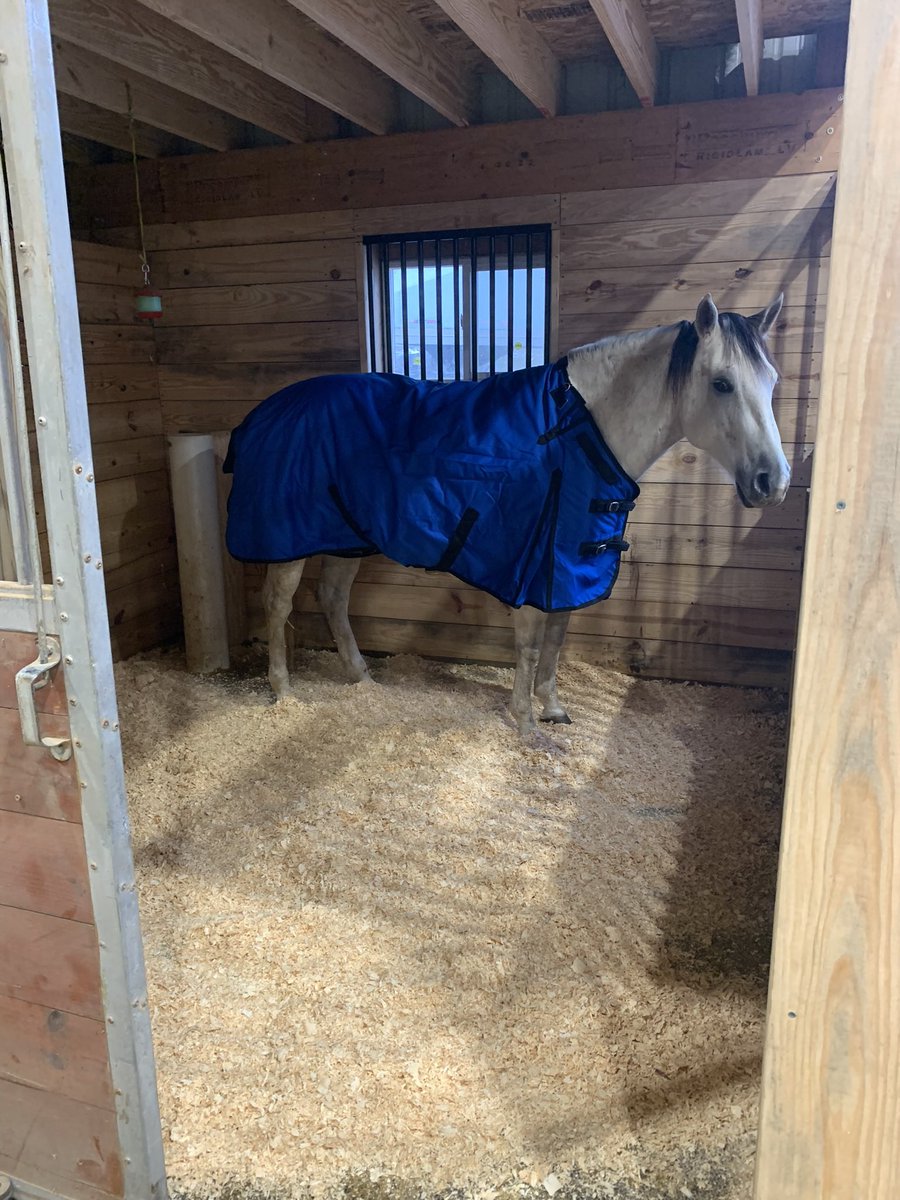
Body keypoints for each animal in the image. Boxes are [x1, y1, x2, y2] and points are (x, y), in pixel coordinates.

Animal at [225, 293, 789, 739]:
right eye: (721, 383)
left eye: (773, 380)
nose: (774, 482)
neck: (579, 430)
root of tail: (266, 410)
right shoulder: (532, 561)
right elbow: (530, 645)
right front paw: (526, 724)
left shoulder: (568, 564)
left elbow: (557, 641)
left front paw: (554, 709)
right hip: (290, 541)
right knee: (278, 603)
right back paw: (283, 691)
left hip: (346, 537)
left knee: (333, 598)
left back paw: (362, 677)